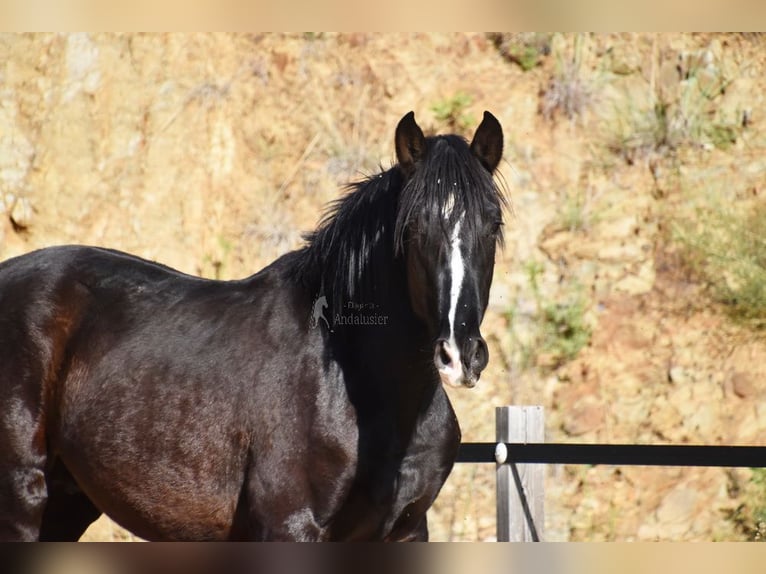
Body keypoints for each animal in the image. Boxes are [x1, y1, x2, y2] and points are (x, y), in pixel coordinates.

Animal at [0, 110, 508, 544]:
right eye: (413, 228)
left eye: (493, 224)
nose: (460, 355)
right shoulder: (290, 527)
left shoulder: (405, 531)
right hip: (23, 494)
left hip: (66, 500)